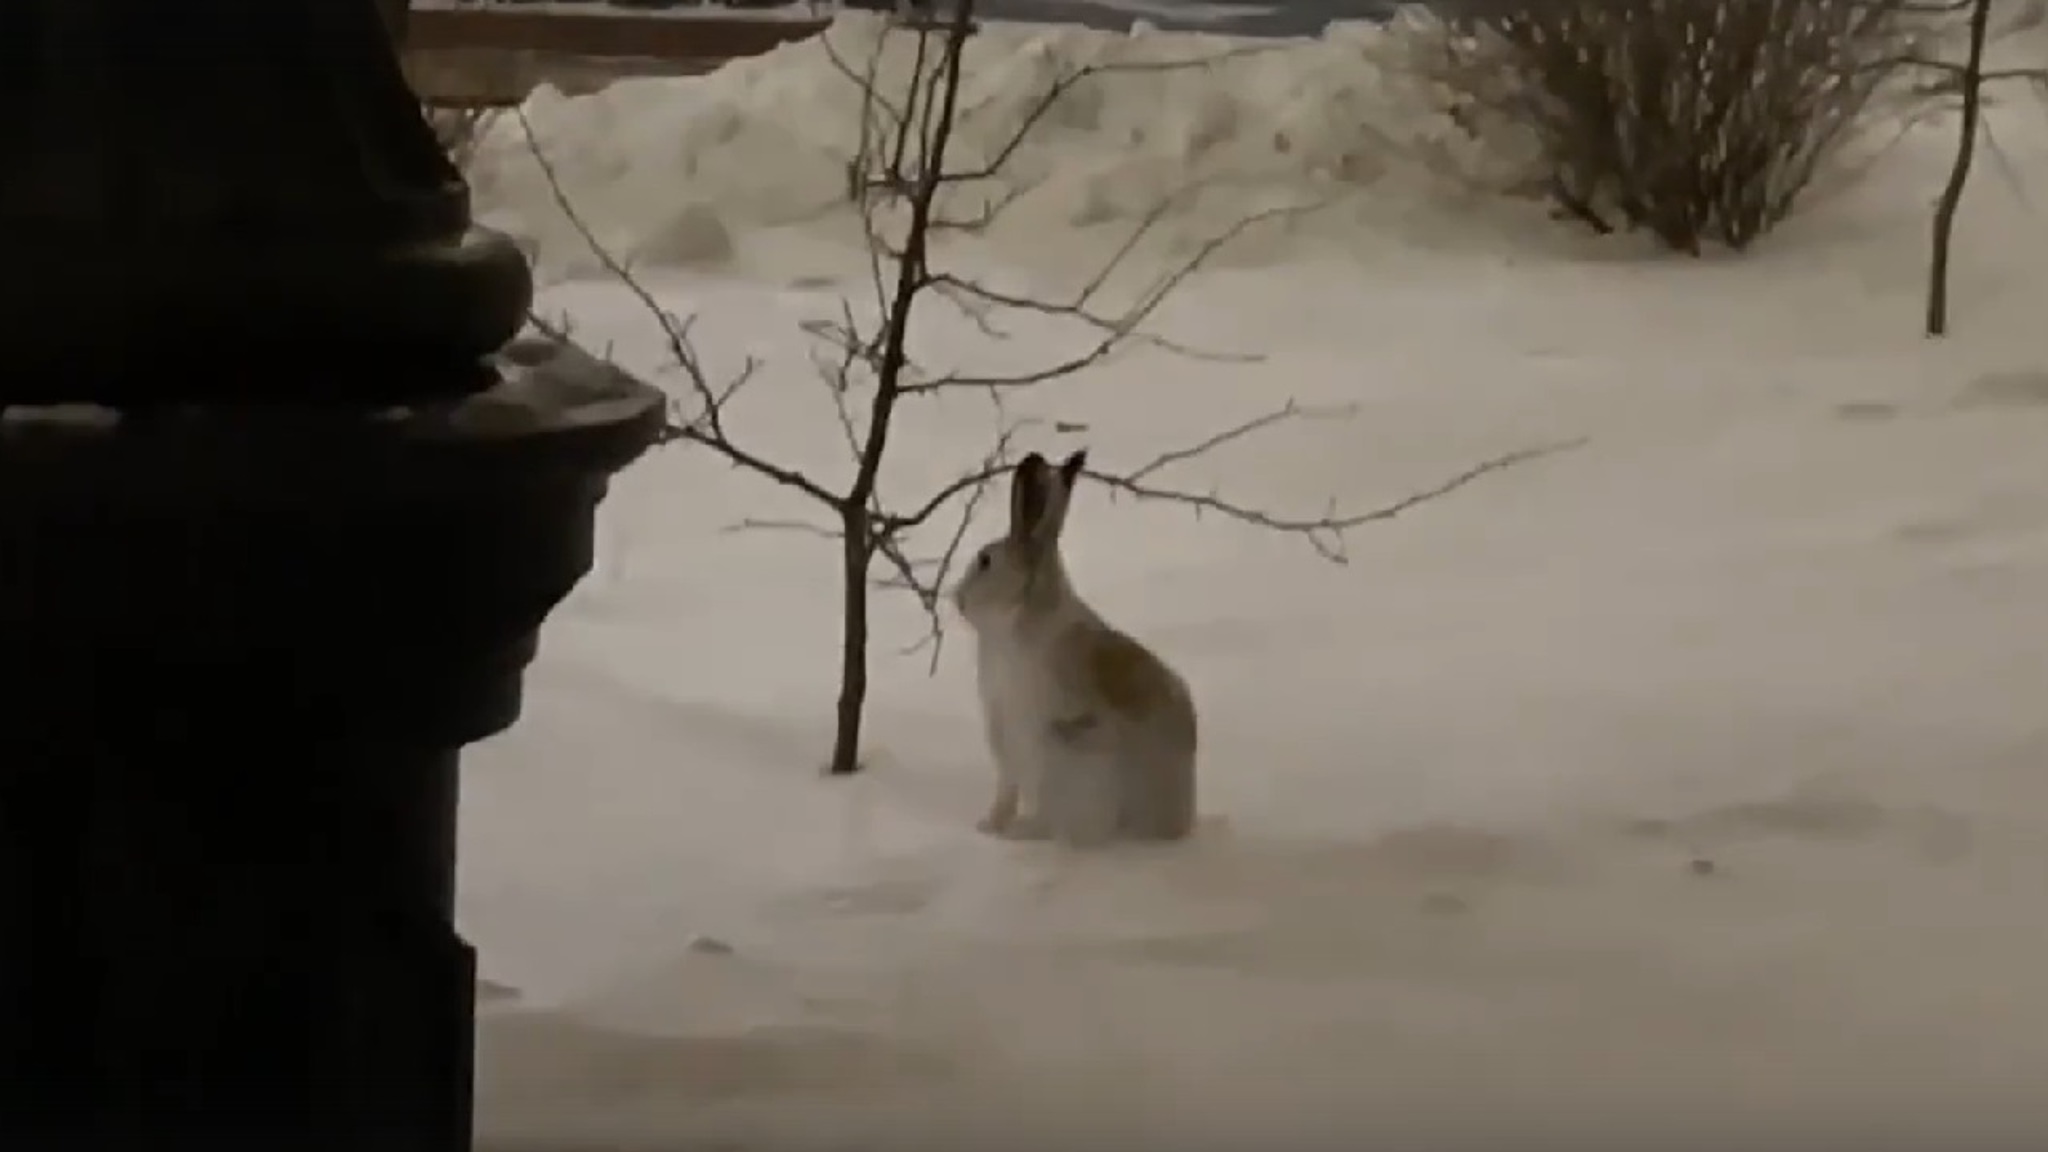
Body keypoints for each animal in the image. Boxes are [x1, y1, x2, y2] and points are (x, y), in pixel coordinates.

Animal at [951, 449, 1199, 846]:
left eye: (986, 561)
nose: (957, 599)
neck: (1020, 616)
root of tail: (1172, 826)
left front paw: (1011, 832)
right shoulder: (1003, 743)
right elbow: (1005, 794)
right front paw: (988, 826)